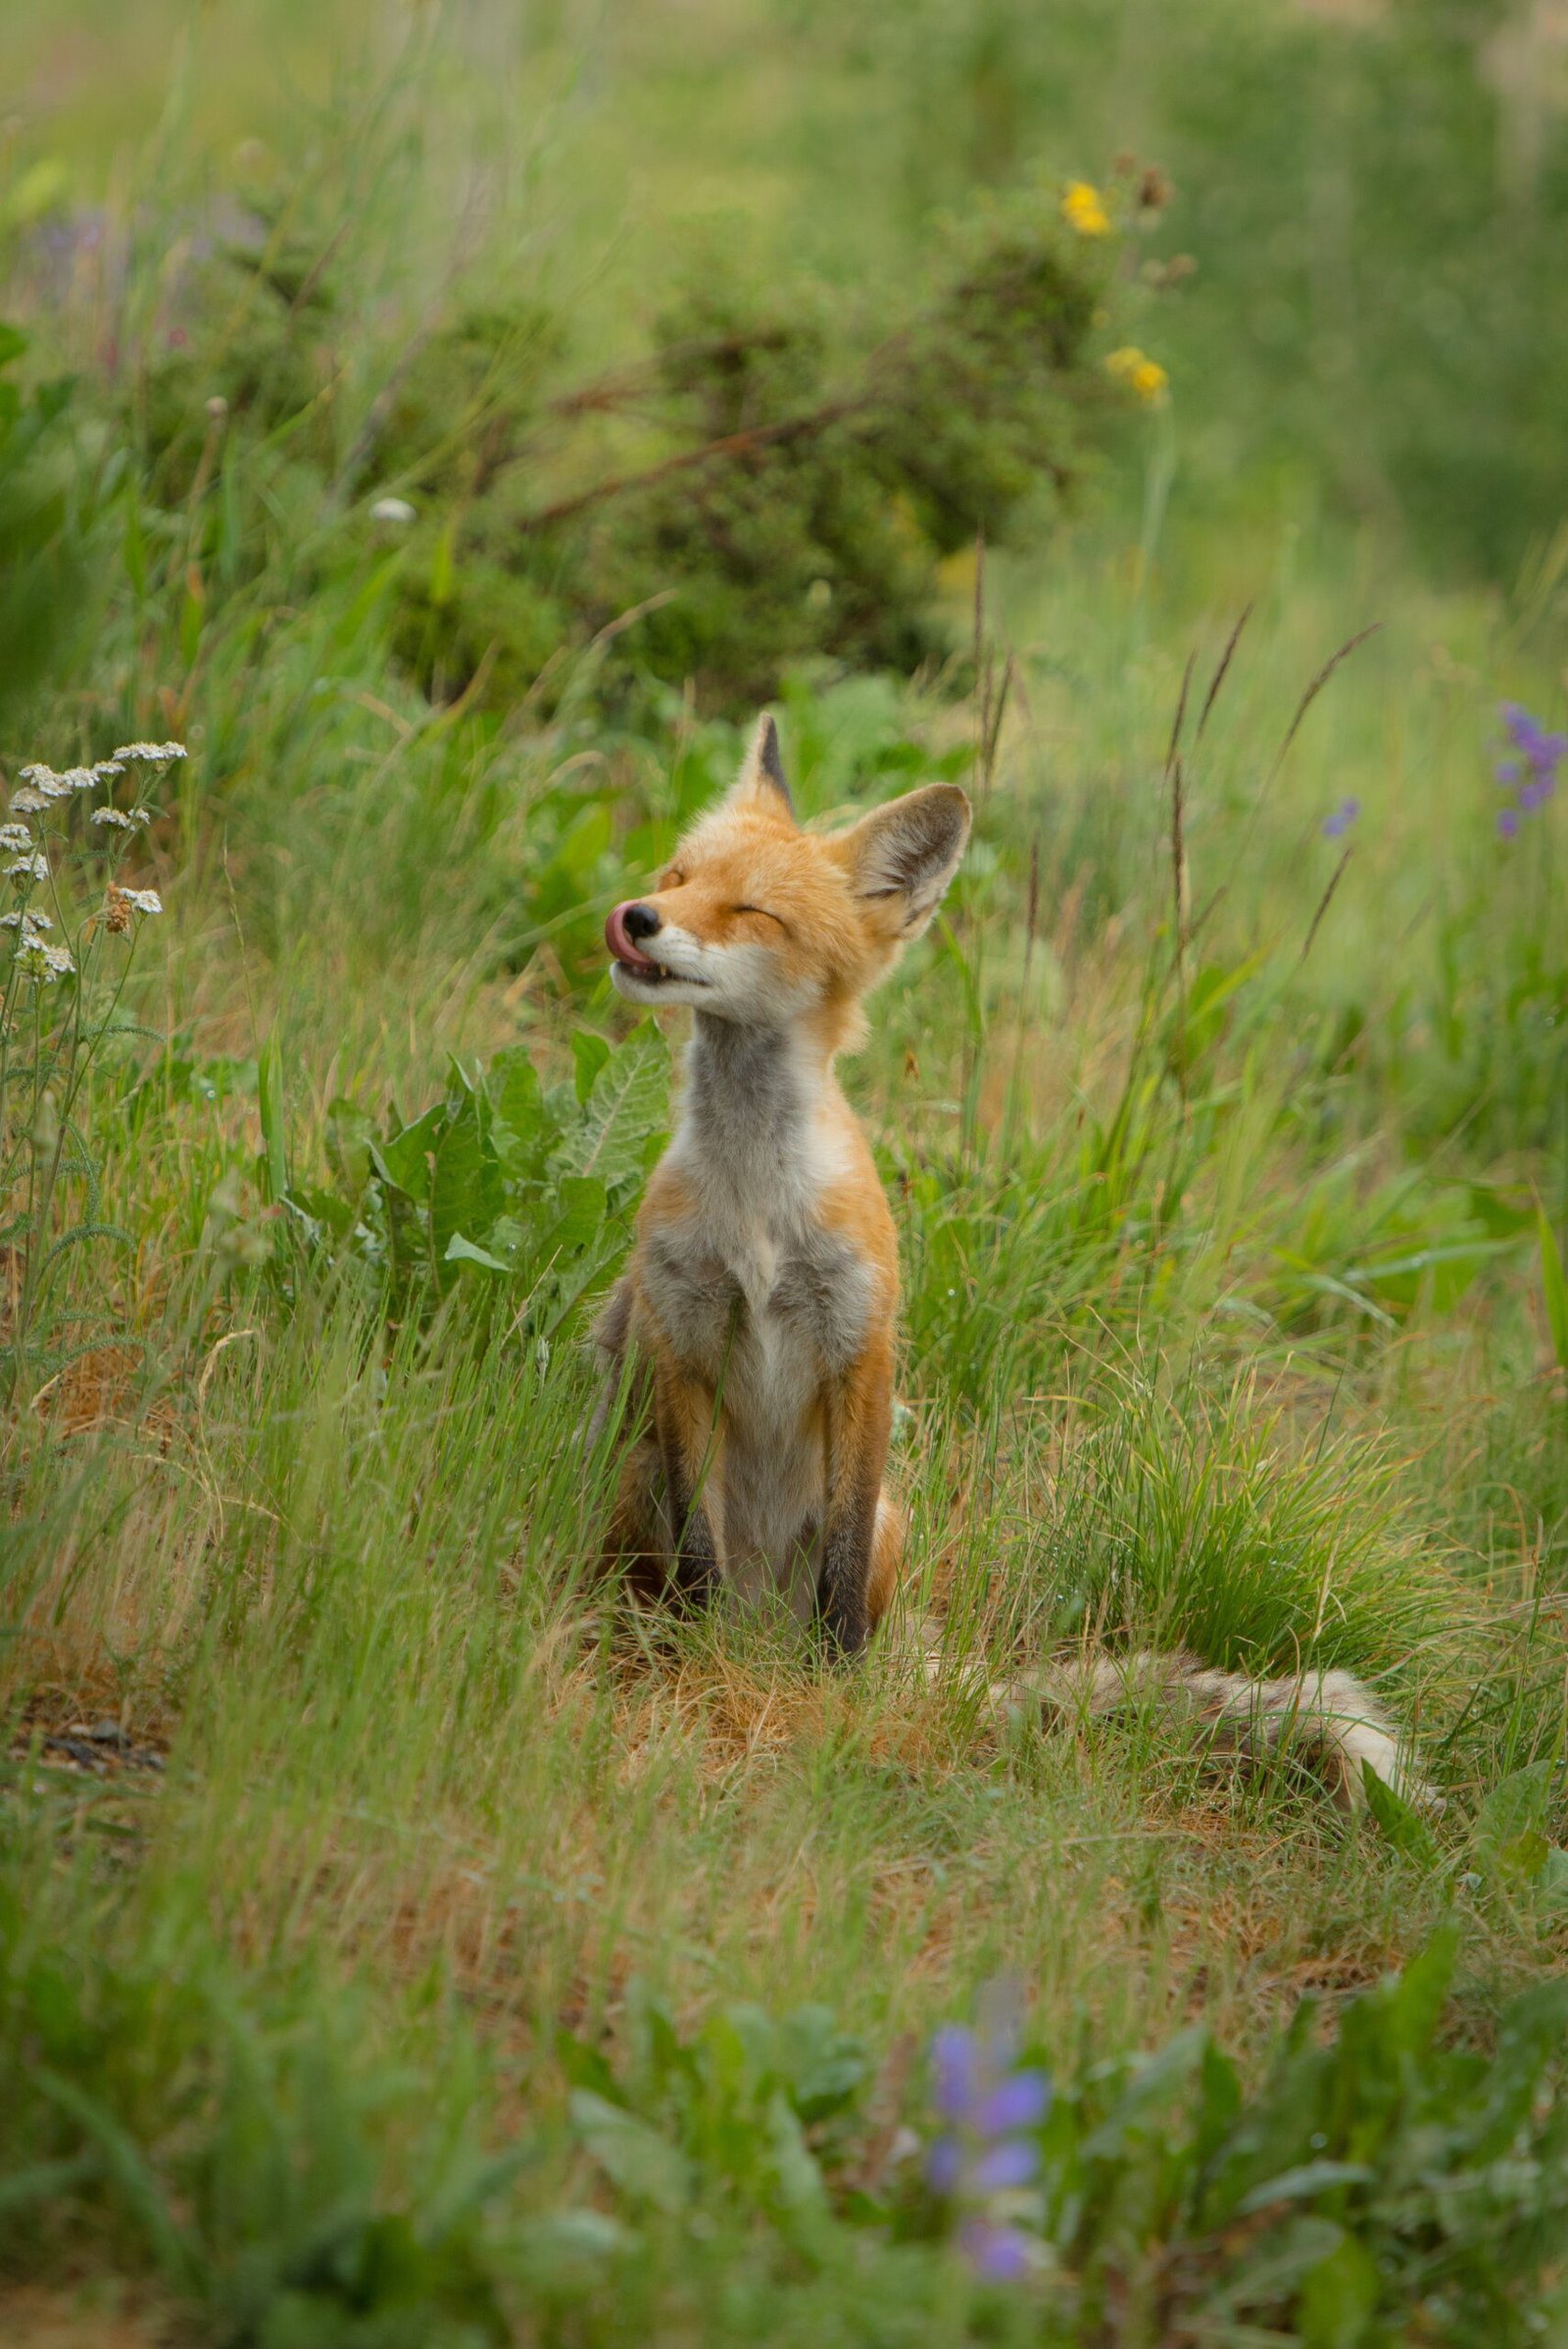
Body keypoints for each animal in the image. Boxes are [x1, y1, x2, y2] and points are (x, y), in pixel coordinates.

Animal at [591, 705, 1436, 1803]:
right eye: (680, 872)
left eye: (752, 912)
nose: (637, 916)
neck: (756, 1211)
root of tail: (759, 1633)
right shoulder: (682, 1336)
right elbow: (700, 1554)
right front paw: (699, 1669)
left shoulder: (862, 1348)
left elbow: (840, 1583)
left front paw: (836, 1699)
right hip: (634, 1479)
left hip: (892, 1521)